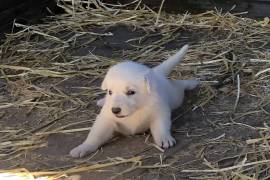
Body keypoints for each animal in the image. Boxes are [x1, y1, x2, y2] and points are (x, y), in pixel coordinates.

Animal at [70, 44, 199, 158]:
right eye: (110, 92)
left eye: (131, 92)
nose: (115, 110)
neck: (136, 110)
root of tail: (155, 73)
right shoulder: (106, 119)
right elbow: (96, 134)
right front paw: (83, 147)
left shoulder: (159, 112)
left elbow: (161, 126)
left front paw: (164, 138)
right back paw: (102, 101)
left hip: (175, 96)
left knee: (179, 85)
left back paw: (192, 83)